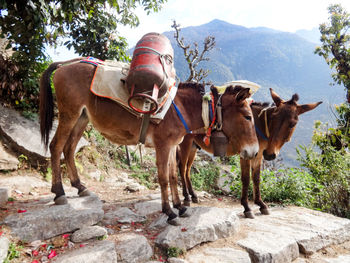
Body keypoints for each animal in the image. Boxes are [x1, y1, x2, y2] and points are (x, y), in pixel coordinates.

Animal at [39, 59, 260, 225]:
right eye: (248, 117)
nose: (254, 152)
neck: (180, 108)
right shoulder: (163, 146)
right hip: (69, 114)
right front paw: (169, 212)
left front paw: (180, 207)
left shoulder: (172, 146)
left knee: (69, 149)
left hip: (82, 117)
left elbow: (173, 176)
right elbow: (163, 178)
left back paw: (80, 187)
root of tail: (64, 64)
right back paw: (59, 192)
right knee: (56, 146)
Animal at [178, 88, 322, 219]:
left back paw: (193, 195)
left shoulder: (258, 155)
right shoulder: (246, 154)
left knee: (187, 169)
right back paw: (186, 198)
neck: (260, 126)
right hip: (185, 143)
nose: (270, 155)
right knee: (181, 167)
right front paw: (247, 207)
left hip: (193, 147)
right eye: (274, 117)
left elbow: (256, 178)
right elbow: (246, 179)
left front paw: (261, 204)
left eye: (292, 124)